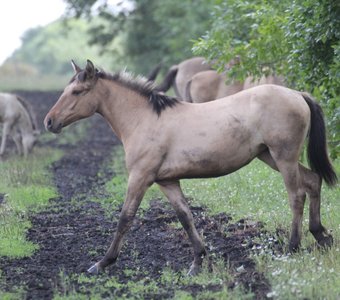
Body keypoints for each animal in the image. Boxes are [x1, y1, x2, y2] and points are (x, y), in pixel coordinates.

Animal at [44, 59, 338, 276]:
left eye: (77, 92)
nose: (49, 122)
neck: (145, 119)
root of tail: (297, 94)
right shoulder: (167, 181)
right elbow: (185, 217)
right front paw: (197, 262)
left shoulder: (140, 177)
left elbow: (125, 218)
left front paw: (102, 262)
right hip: (270, 156)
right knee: (313, 181)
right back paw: (321, 236)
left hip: (283, 156)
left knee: (296, 195)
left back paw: (293, 247)